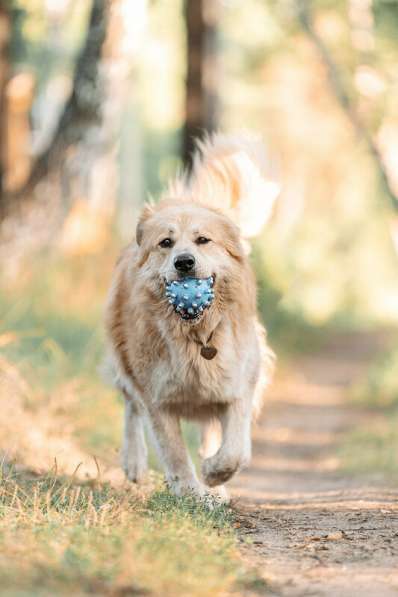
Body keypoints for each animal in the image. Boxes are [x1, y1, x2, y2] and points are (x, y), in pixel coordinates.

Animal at [104, 132, 278, 498]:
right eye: (165, 243)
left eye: (203, 240)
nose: (184, 262)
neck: (196, 333)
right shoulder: (156, 395)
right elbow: (174, 452)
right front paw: (189, 492)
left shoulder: (240, 381)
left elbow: (235, 447)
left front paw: (214, 474)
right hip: (123, 358)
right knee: (130, 405)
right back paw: (134, 462)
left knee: (211, 429)